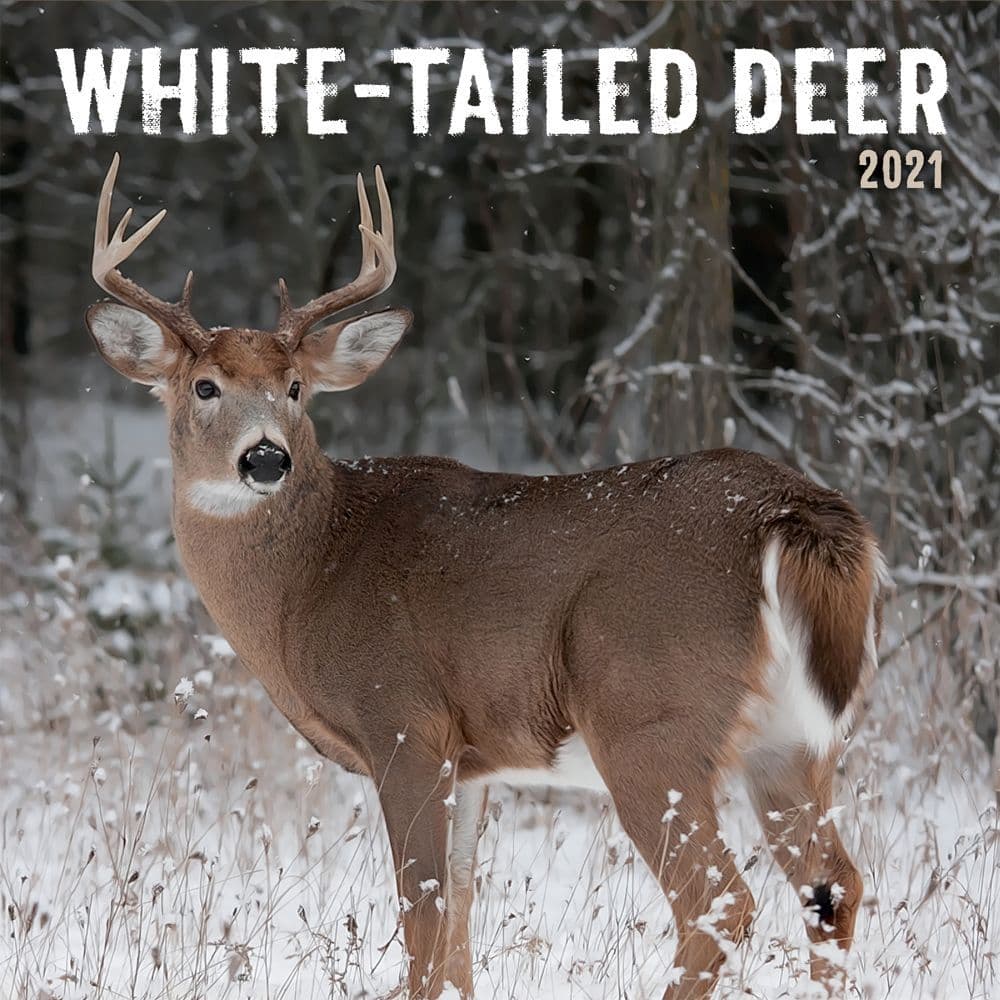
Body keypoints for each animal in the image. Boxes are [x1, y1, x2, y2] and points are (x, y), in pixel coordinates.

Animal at [84, 154, 886, 1000]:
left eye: (295, 388)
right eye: (204, 386)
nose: (267, 457)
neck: (311, 578)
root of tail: (792, 511)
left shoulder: (404, 721)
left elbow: (424, 914)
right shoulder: (470, 758)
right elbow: (463, 912)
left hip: (649, 717)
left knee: (719, 900)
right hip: (793, 739)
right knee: (833, 884)